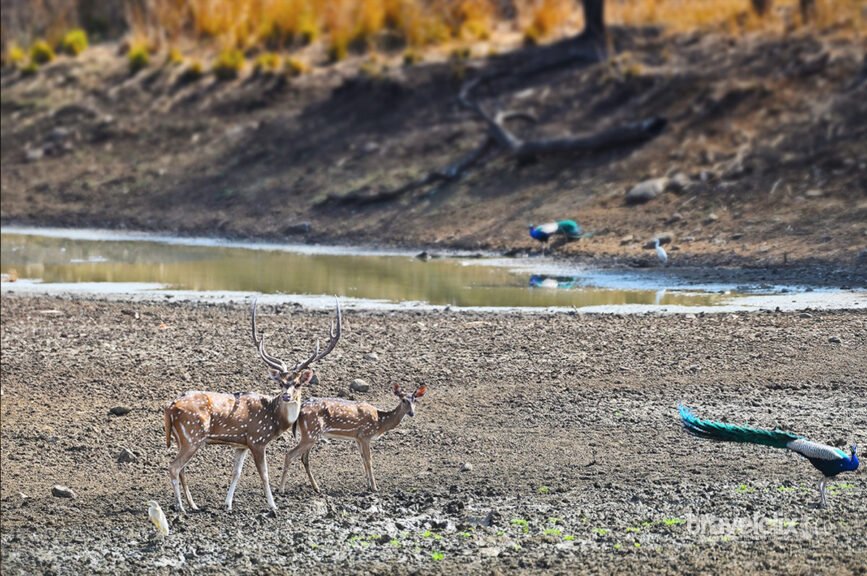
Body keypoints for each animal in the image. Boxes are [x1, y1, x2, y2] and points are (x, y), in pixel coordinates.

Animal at [164, 296, 340, 512]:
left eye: (298, 383)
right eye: (281, 382)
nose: (286, 396)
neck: (275, 419)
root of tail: (170, 406)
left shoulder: (242, 444)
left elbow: (236, 473)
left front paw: (228, 504)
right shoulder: (258, 439)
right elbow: (264, 474)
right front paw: (273, 506)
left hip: (182, 438)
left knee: (181, 469)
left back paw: (194, 505)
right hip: (192, 436)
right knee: (174, 467)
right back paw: (180, 507)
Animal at [278, 382, 428, 496]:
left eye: (415, 400)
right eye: (403, 400)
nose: (412, 413)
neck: (380, 422)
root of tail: (300, 410)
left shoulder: (357, 438)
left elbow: (363, 460)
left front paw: (368, 485)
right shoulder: (365, 435)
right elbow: (369, 460)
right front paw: (375, 487)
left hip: (311, 434)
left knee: (304, 458)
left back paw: (317, 488)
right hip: (311, 433)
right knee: (289, 454)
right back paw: (281, 489)